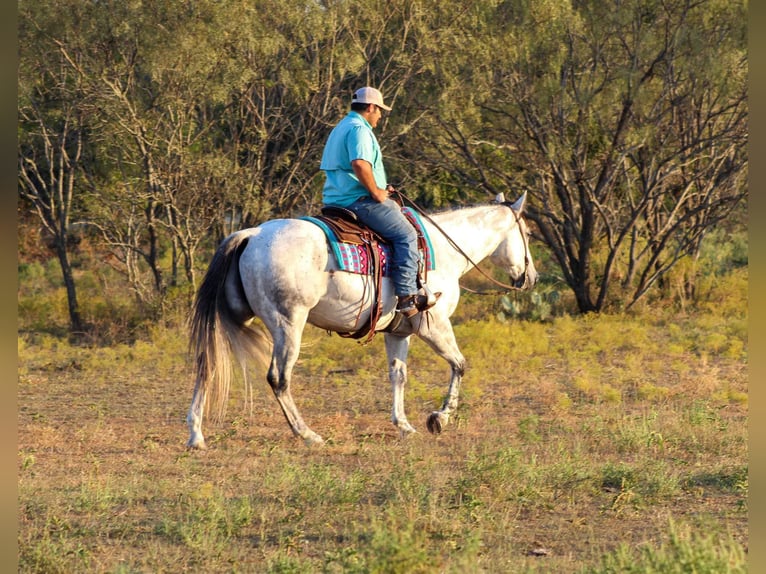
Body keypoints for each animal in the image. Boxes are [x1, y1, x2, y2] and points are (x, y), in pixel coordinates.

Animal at [186, 192, 538, 449]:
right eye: (528, 233)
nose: (531, 277)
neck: (442, 252)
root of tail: (253, 233)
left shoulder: (398, 332)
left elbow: (398, 376)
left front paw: (404, 426)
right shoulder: (433, 326)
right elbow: (459, 365)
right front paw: (439, 418)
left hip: (233, 320)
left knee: (208, 364)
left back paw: (196, 435)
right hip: (288, 325)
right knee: (278, 378)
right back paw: (308, 434)